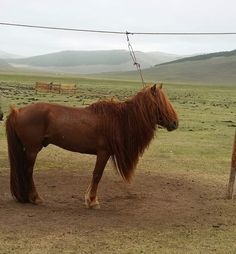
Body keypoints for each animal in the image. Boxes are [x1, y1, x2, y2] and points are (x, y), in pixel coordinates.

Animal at [6, 84, 177, 207]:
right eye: (161, 103)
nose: (175, 123)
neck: (119, 119)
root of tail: (18, 111)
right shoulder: (103, 153)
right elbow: (97, 175)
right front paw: (92, 200)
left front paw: (89, 198)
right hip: (32, 150)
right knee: (28, 171)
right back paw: (35, 198)